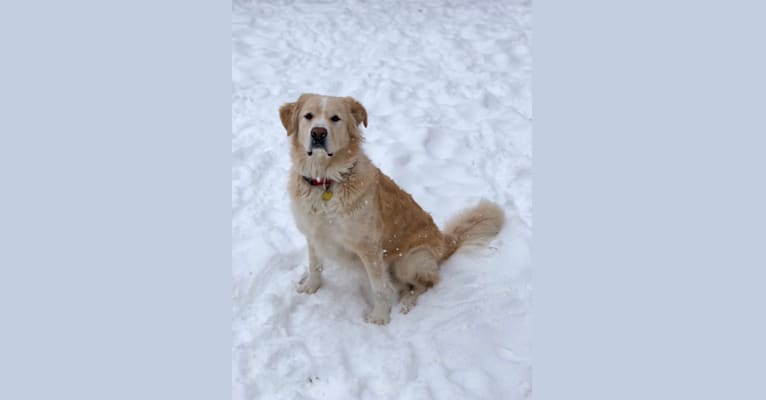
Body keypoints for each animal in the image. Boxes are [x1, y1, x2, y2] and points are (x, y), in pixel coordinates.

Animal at [280, 94, 508, 324]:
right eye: (308, 116)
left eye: (335, 118)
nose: (318, 132)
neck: (326, 181)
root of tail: (445, 243)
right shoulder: (313, 234)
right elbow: (315, 265)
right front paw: (311, 287)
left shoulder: (370, 247)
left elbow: (379, 287)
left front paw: (379, 317)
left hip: (407, 261)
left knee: (428, 282)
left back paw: (407, 302)